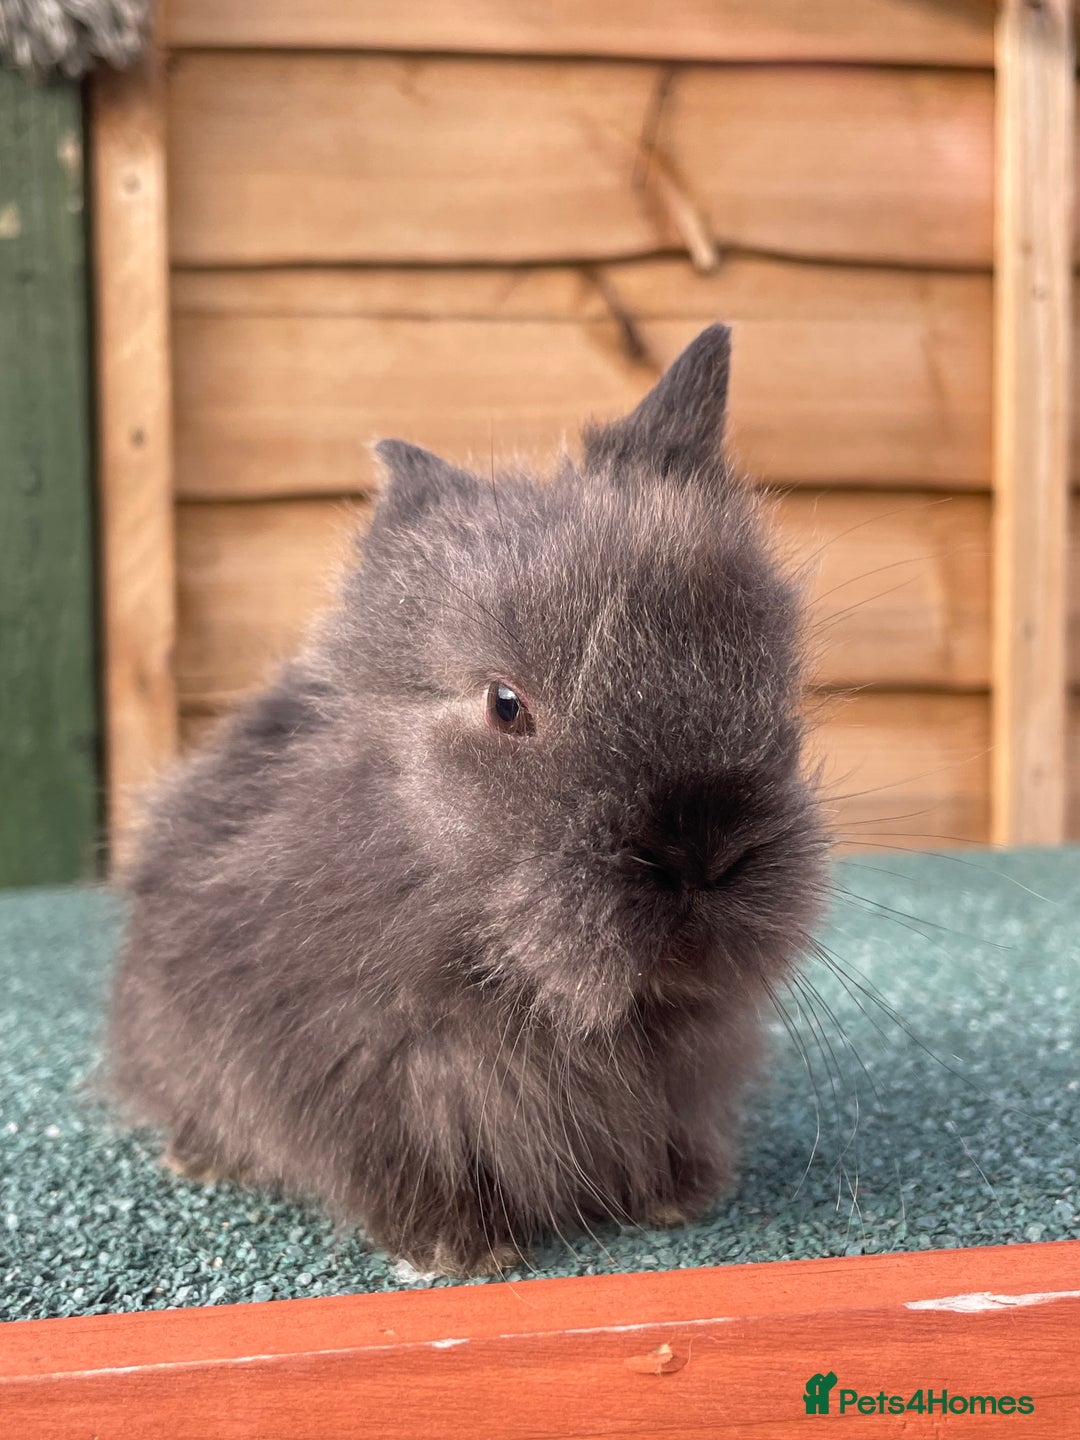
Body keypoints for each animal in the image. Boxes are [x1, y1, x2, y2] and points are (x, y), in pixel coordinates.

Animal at [104, 324, 829, 1277]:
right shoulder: (358, 1066)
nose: (701, 850)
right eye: (505, 703)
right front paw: (460, 1246)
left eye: (773, 684)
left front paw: (677, 1197)